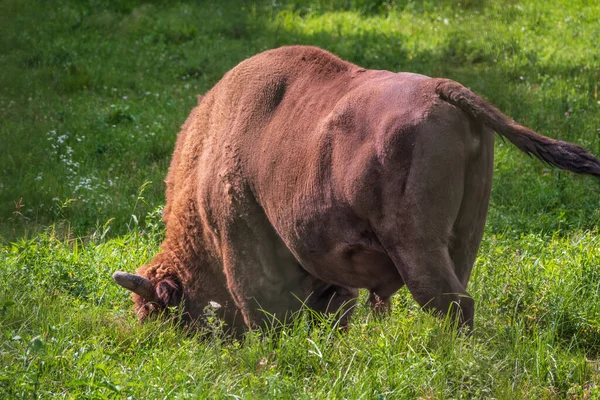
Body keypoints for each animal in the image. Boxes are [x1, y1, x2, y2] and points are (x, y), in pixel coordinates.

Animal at [113, 45, 600, 332]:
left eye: (160, 314)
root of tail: (442, 90)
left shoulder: (244, 250)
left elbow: (263, 314)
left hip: (415, 245)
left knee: (451, 305)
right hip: (464, 237)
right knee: (461, 296)